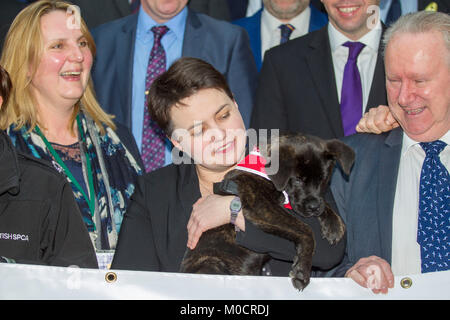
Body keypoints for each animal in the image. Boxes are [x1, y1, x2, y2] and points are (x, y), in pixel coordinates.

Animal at [180, 132, 356, 290]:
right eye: (298, 180)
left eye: (323, 179)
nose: (313, 208)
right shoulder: (261, 204)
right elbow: (305, 229)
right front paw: (302, 269)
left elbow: (323, 203)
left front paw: (334, 224)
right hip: (212, 264)